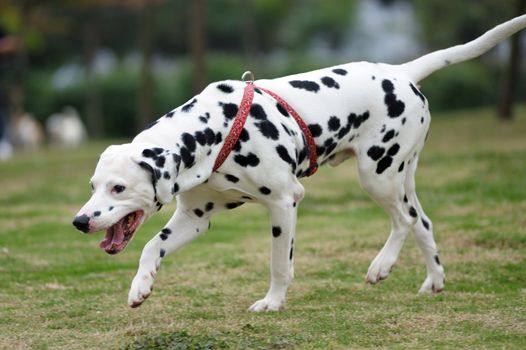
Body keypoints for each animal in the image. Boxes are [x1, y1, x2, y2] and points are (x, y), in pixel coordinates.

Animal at [73, 16, 526, 312]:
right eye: (92, 184)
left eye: (118, 187)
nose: (79, 221)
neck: (214, 130)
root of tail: (402, 72)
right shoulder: (195, 217)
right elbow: (152, 246)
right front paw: (140, 287)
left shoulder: (283, 202)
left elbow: (279, 263)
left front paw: (273, 302)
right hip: (401, 178)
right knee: (423, 222)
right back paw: (434, 280)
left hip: (377, 176)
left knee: (404, 221)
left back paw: (381, 266)